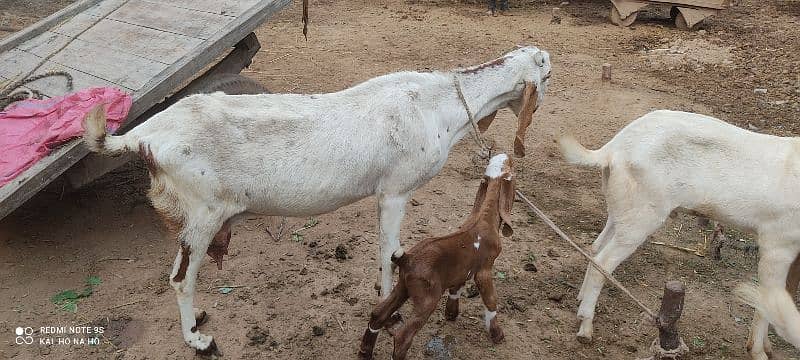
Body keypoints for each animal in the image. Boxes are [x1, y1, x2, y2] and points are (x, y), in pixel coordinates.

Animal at [84, 47, 552, 354]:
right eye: (546, 75)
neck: (439, 104)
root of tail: (143, 137)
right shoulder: (395, 191)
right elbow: (390, 253)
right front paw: (389, 310)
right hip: (204, 213)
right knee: (181, 278)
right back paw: (197, 339)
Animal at [560, 110, 800, 360]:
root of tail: (614, 148)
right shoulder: (778, 243)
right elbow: (771, 298)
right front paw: (758, 352)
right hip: (643, 215)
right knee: (604, 261)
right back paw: (585, 325)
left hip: (623, 208)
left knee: (595, 248)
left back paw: (580, 300)